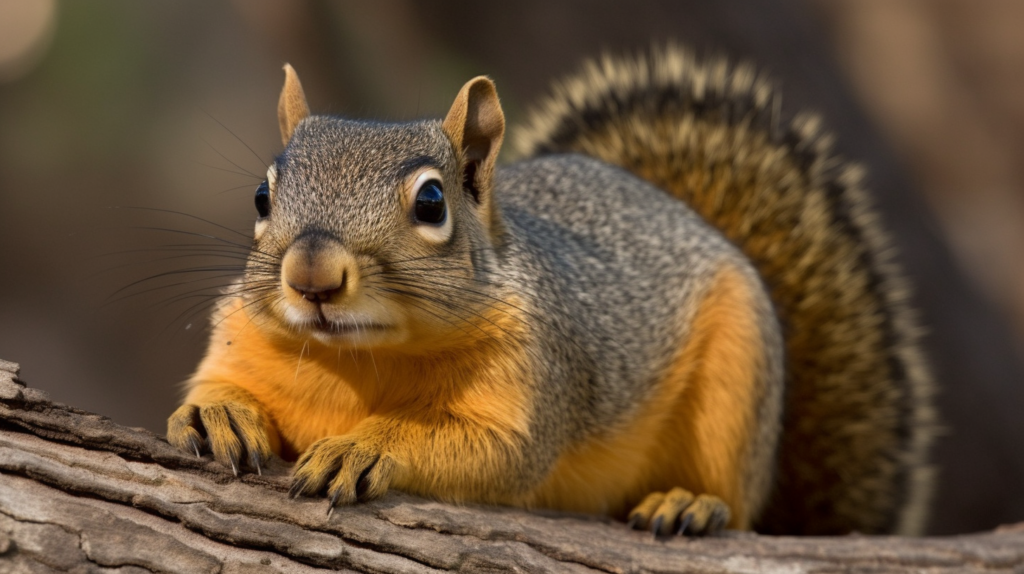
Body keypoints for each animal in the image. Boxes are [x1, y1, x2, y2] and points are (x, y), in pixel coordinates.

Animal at [167, 44, 936, 536]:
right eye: (262, 195)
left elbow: (495, 452)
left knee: (738, 506)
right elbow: (216, 384)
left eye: (432, 203)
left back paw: (691, 503)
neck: (358, 360)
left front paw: (367, 446)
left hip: (737, 381)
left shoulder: (533, 372)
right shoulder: (242, 338)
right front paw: (217, 412)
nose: (312, 277)